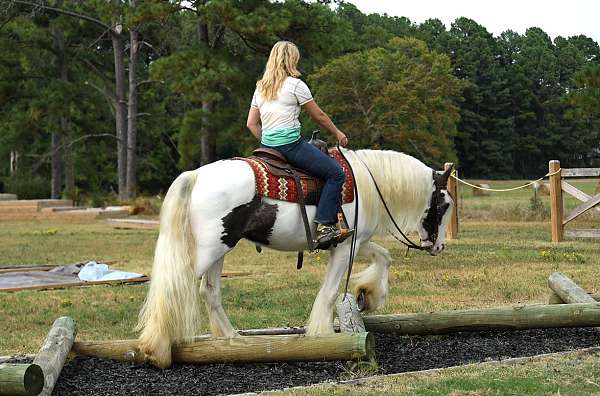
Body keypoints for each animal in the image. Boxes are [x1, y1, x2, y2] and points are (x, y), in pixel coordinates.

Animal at [137, 148, 454, 368]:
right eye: (444, 204)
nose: (439, 246)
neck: (365, 184)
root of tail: (197, 175)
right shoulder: (344, 248)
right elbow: (329, 292)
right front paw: (323, 335)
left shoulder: (353, 242)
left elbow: (384, 256)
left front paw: (367, 295)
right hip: (210, 251)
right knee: (176, 288)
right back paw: (157, 349)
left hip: (218, 251)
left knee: (209, 292)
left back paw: (232, 339)